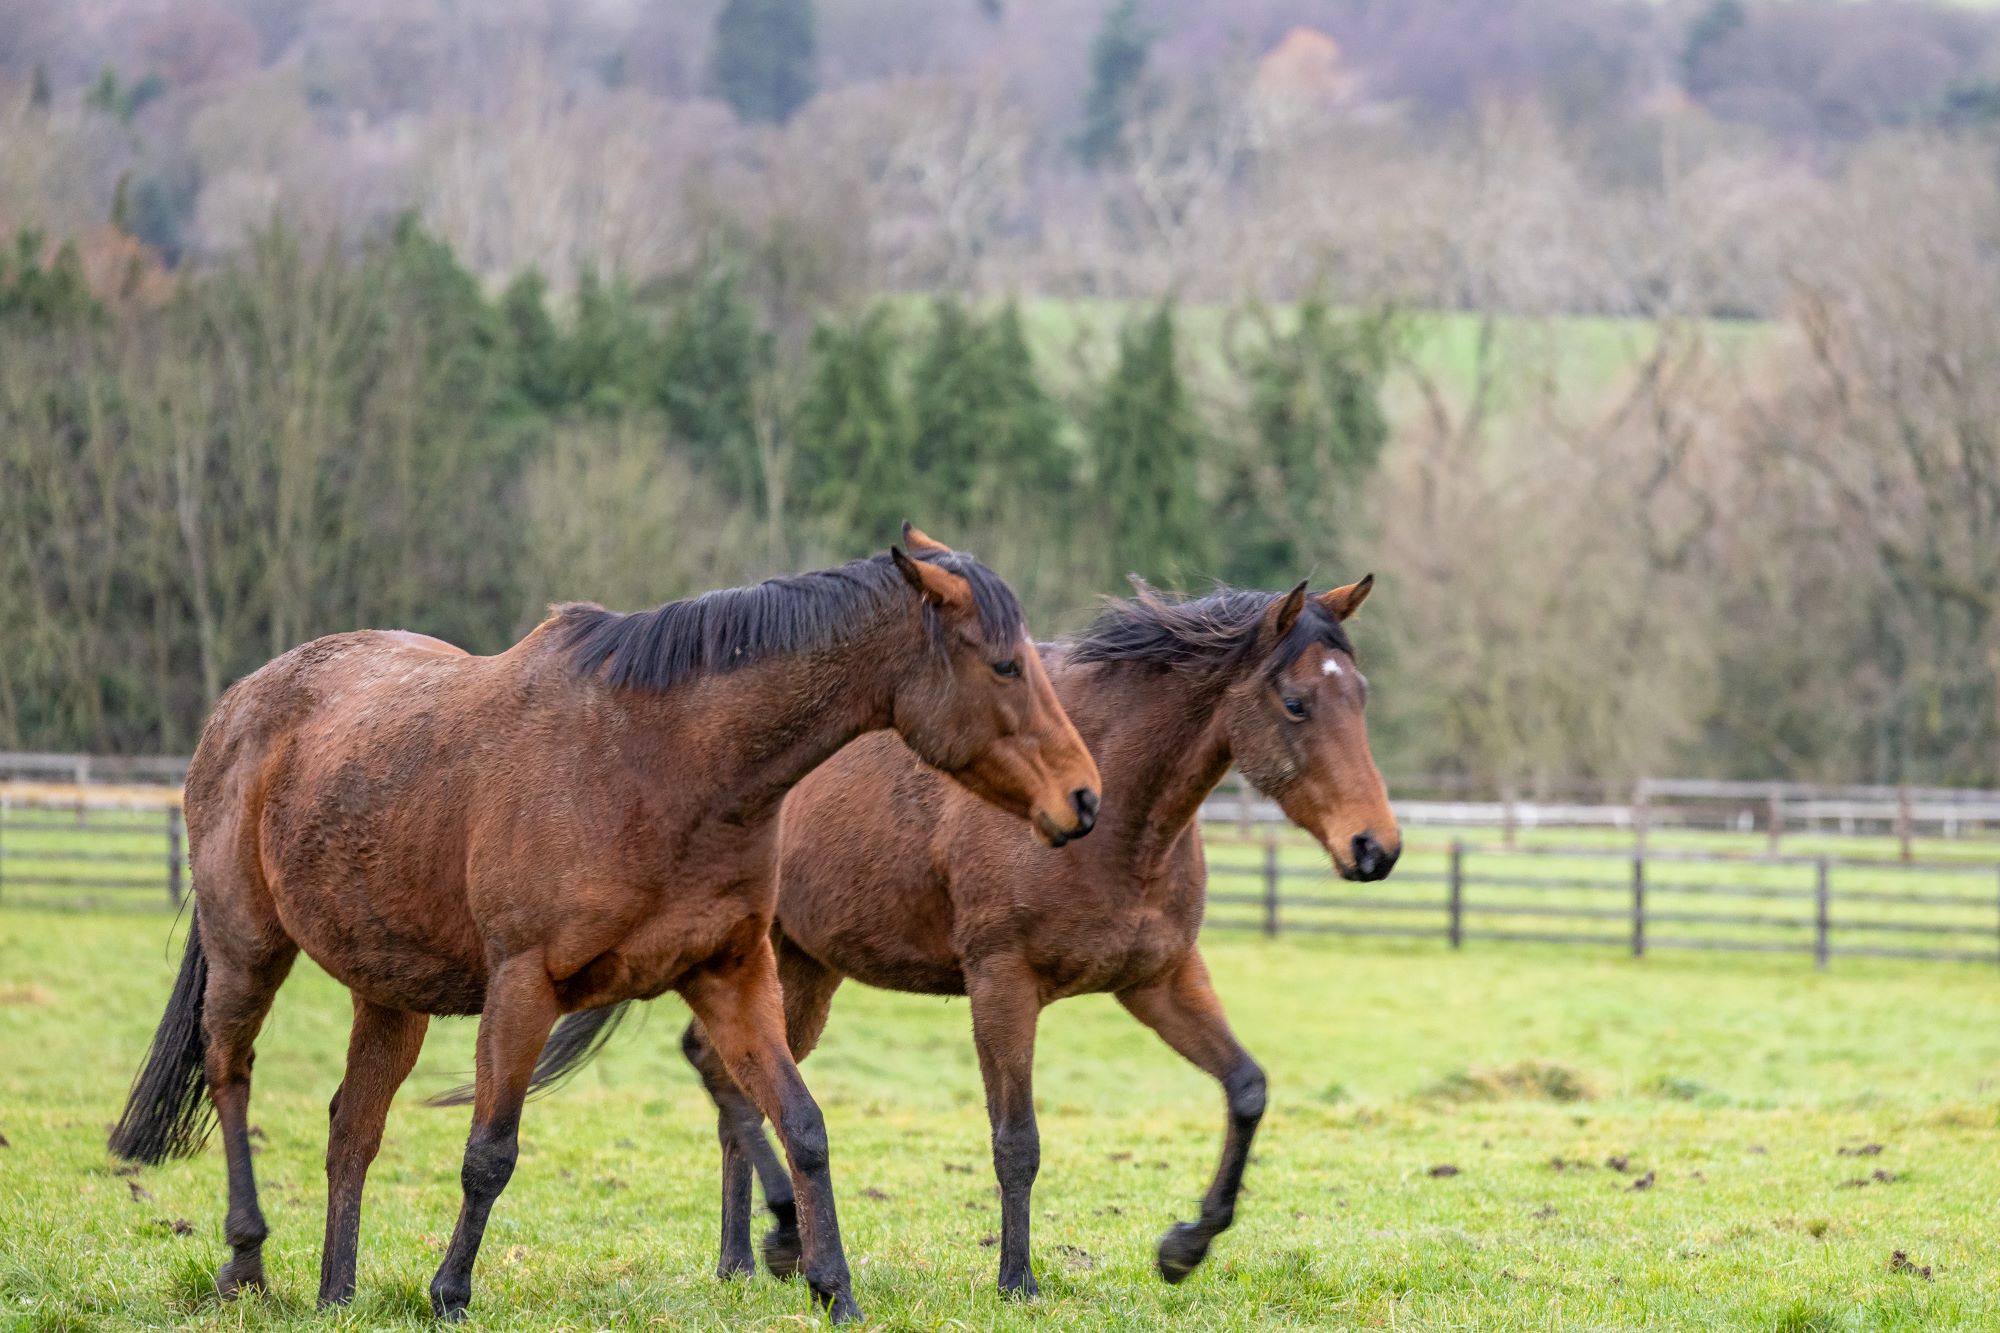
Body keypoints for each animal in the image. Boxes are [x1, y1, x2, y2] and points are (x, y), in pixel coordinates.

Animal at [105, 528, 1112, 1320]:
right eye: (1004, 664)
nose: (1084, 798)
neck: (656, 762)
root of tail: (242, 702)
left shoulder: (731, 976)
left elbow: (802, 1123)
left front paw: (833, 1286)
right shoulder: (524, 984)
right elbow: (490, 1151)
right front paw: (450, 1292)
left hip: (389, 993)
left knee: (353, 1125)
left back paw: (336, 1290)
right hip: (250, 948)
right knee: (230, 1073)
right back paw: (245, 1258)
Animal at [540, 576, 1400, 1288]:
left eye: (1359, 694)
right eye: (1296, 703)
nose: (1376, 847)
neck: (1112, 813)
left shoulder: (1158, 979)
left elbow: (1246, 1088)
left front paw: (1184, 1246)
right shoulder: (1003, 982)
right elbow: (1016, 1139)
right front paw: (1018, 1279)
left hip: (801, 966)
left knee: (733, 1077)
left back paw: (744, 1258)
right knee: (727, 1076)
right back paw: (773, 1246)